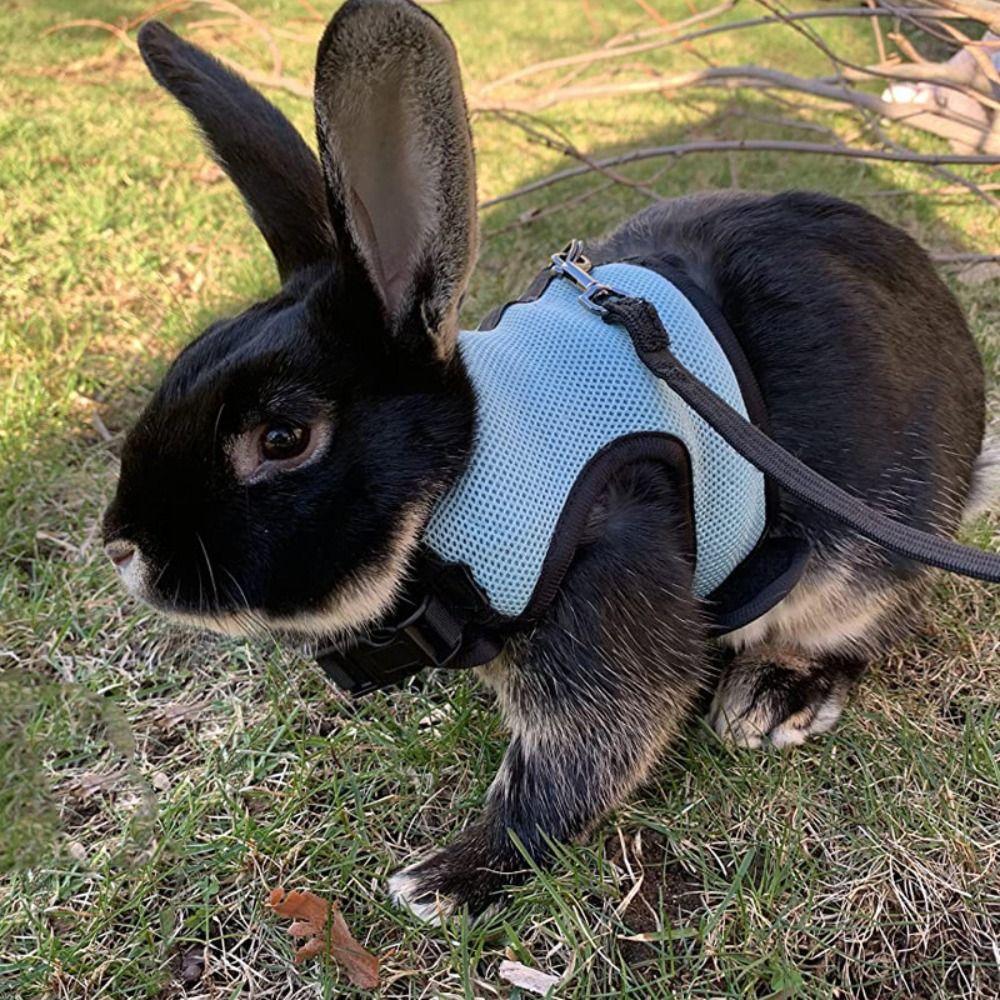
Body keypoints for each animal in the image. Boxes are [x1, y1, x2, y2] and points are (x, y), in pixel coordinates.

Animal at [103, 0, 991, 923]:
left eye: (283, 439)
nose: (122, 546)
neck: (463, 479)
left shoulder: (605, 584)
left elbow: (575, 764)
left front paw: (446, 881)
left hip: (856, 558)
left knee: (869, 625)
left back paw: (774, 695)